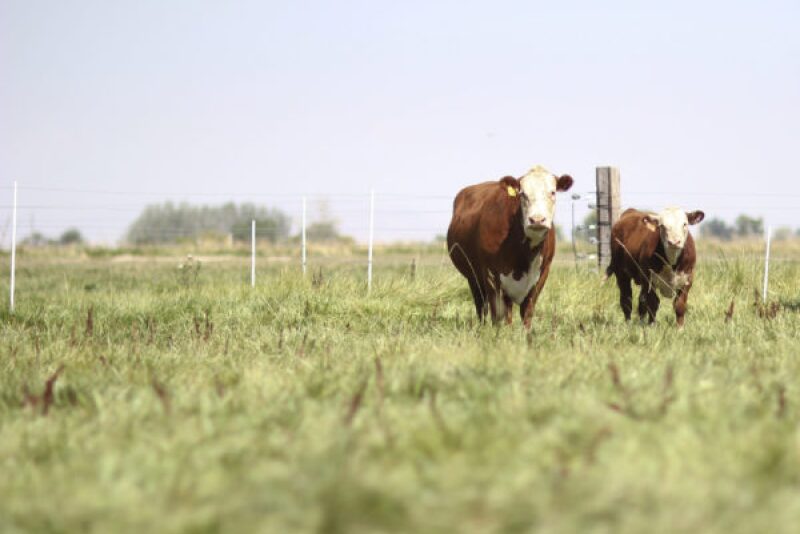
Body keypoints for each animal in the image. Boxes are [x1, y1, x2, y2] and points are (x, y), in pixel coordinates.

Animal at [446, 165, 574, 327]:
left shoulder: (542, 274)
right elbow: (501, 316)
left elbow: (527, 312)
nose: (537, 219)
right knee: (481, 307)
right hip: (473, 277)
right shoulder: (491, 277)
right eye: (523, 194)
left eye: (552, 192)